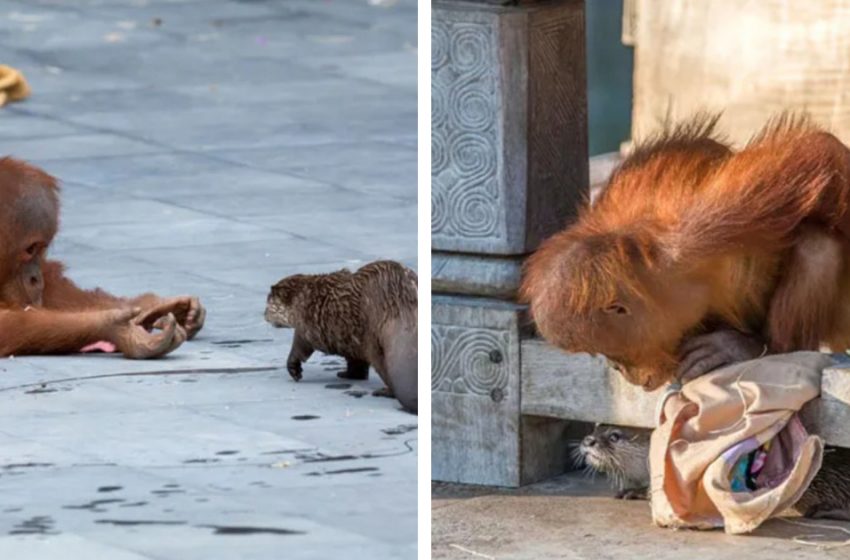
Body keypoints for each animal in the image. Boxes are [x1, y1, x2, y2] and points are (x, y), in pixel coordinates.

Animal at [262, 260, 414, 414]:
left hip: (374, 343)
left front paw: (294, 370)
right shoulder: (353, 339)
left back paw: (384, 392)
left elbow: (300, 348)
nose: (264, 315)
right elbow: (356, 364)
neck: (302, 298)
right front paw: (348, 374)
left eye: (268, 304)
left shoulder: (307, 327)